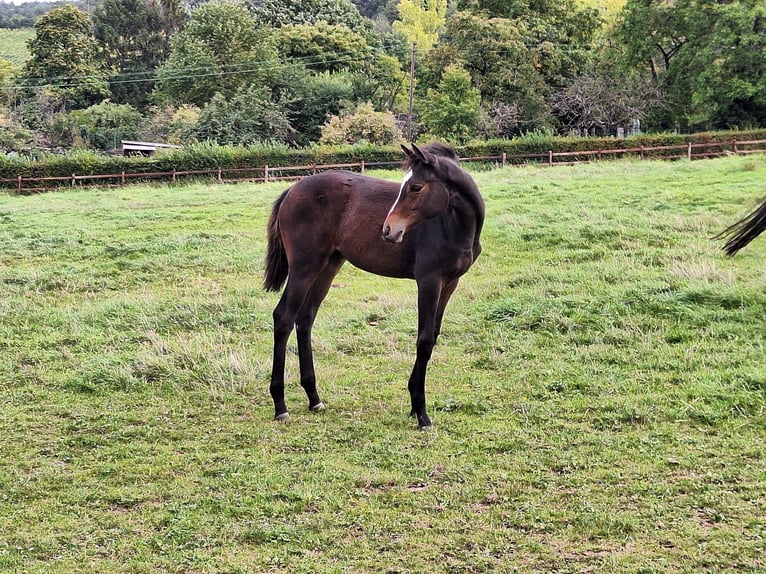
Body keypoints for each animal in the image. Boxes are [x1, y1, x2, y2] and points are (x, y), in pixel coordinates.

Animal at [260, 144, 484, 430]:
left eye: (416, 187)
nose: (389, 230)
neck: (454, 225)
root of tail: (292, 190)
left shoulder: (450, 283)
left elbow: (432, 336)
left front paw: (414, 404)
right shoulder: (429, 280)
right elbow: (423, 340)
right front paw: (421, 413)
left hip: (329, 265)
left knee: (305, 318)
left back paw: (314, 398)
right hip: (304, 266)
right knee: (284, 317)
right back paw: (280, 405)